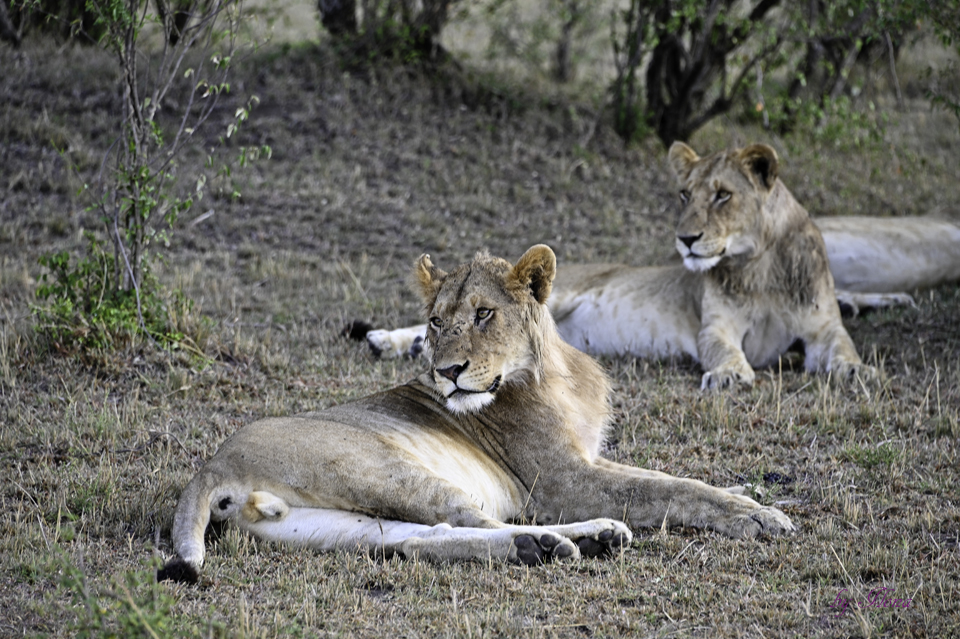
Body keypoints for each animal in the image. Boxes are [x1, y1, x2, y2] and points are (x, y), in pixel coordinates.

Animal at [159, 245, 796, 584]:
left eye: (485, 313)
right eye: (435, 321)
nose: (446, 371)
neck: (554, 374)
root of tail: (213, 465)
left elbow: (666, 476)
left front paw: (748, 490)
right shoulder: (560, 480)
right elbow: (669, 486)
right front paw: (757, 515)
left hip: (325, 523)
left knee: (422, 540)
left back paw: (546, 548)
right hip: (385, 468)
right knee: (478, 520)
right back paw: (575, 541)